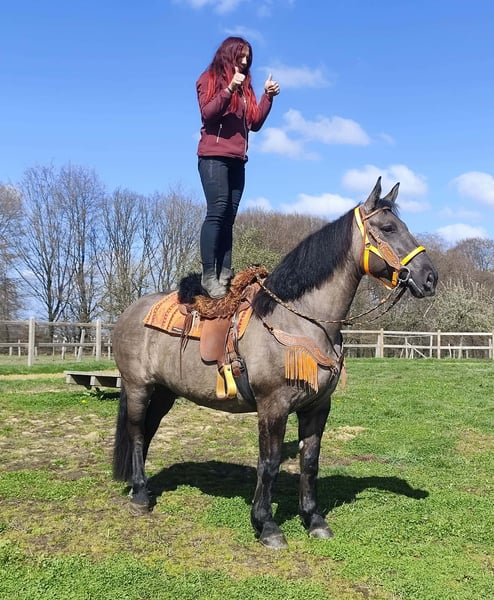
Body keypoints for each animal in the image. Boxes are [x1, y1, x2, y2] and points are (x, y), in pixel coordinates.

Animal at [112, 177, 438, 549]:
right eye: (388, 227)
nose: (430, 277)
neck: (302, 321)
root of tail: (130, 312)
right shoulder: (273, 406)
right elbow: (268, 464)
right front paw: (266, 525)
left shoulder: (317, 407)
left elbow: (310, 462)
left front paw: (314, 519)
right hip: (138, 386)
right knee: (137, 432)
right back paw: (140, 495)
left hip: (165, 391)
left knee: (148, 430)